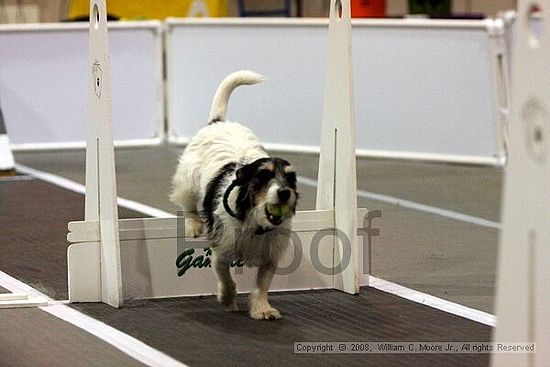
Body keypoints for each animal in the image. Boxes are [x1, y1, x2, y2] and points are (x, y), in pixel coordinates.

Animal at [172, 70, 300, 320]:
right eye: (263, 176)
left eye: (291, 179)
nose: (284, 192)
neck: (255, 224)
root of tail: (218, 122)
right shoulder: (221, 251)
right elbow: (226, 278)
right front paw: (227, 299)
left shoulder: (270, 256)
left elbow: (262, 284)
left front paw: (262, 308)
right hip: (188, 180)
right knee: (187, 204)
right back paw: (193, 224)